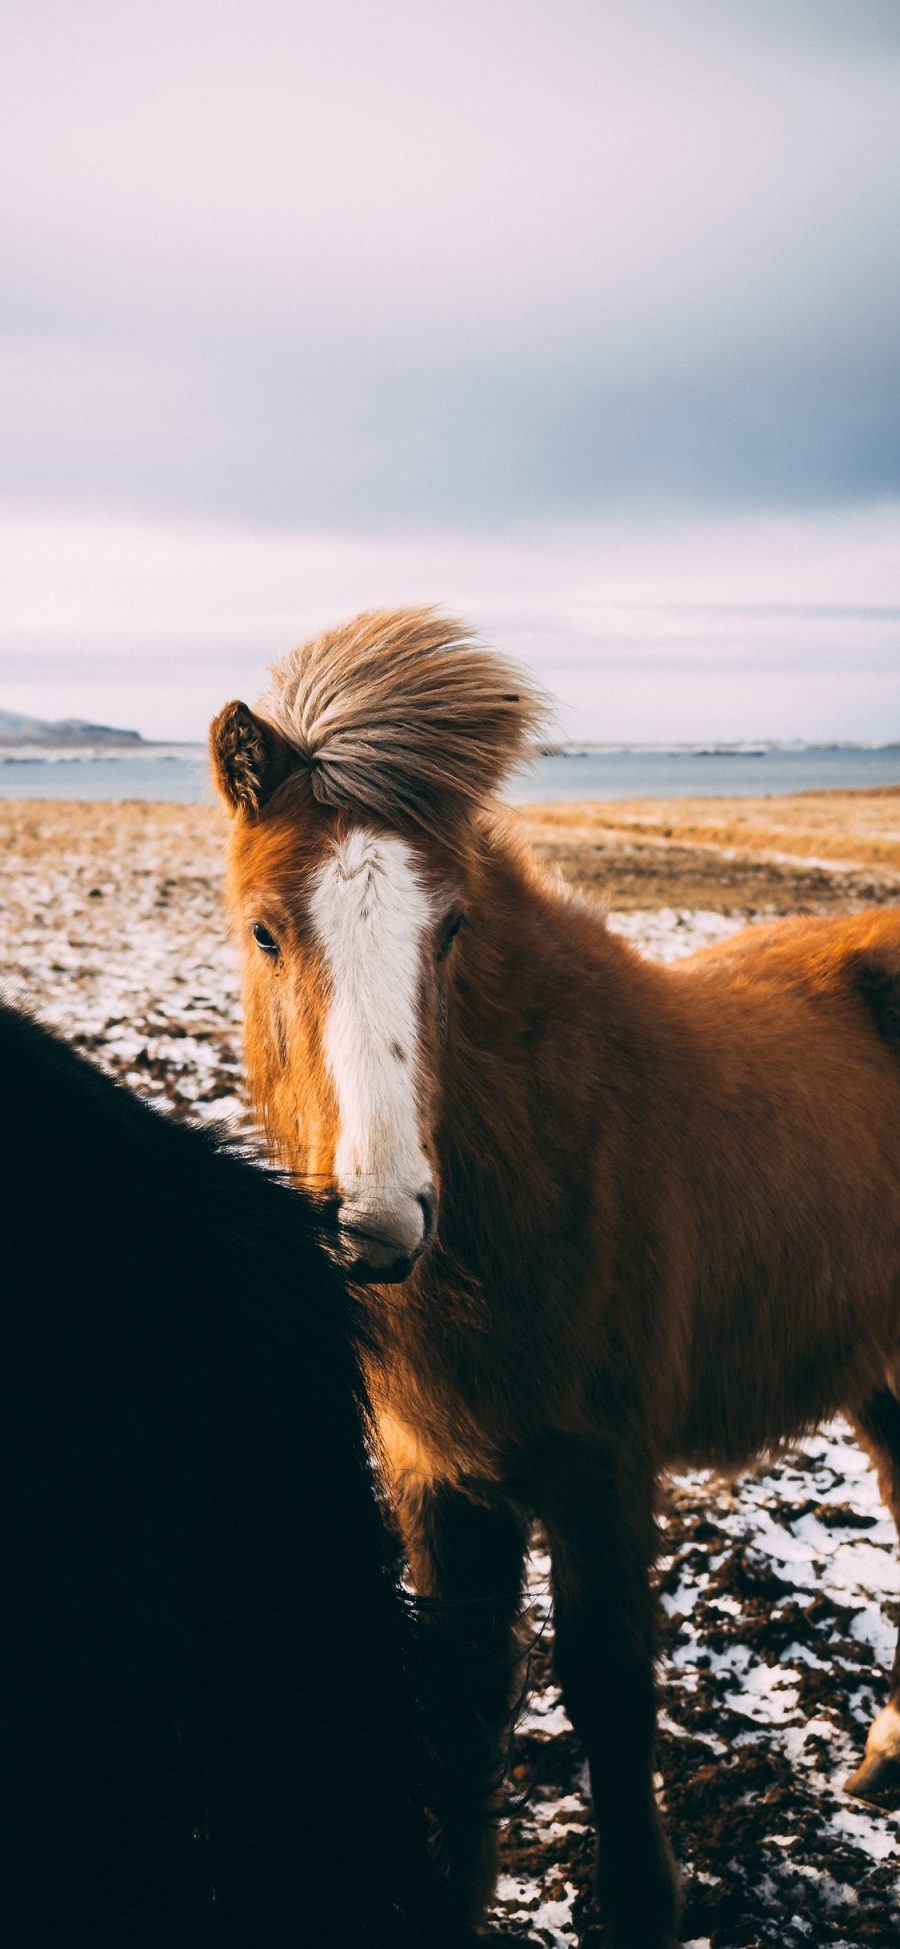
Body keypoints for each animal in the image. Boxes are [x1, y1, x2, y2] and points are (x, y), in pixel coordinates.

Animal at [209, 608, 900, 1949]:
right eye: (267, 928)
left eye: (451, 929)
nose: (377, 1223)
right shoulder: (438, 1473)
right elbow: (466, 1692)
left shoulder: (600, 1467)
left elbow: (610, 1687)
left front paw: (640, 1905)